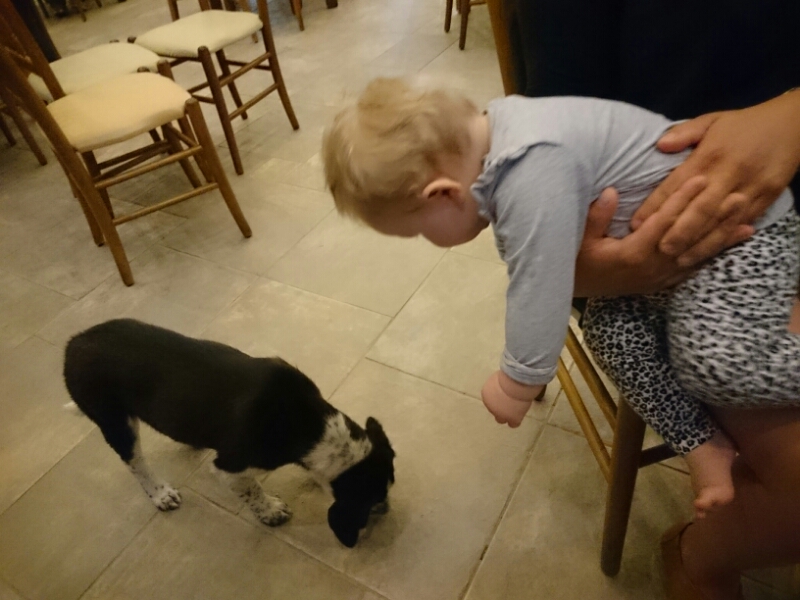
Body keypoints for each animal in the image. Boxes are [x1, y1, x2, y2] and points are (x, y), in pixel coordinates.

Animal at [63, 319, 395, 547]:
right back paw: (160, 493)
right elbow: (252, 491)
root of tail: (73, 345)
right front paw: (271, 511)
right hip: (115, 422)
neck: (311, 424)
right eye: (374, 500)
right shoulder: (231, 467)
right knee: (135, 463)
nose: (386, 508)